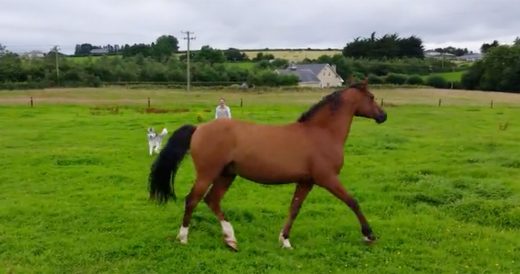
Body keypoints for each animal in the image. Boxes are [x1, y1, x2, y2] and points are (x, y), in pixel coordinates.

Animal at [150, 81, 386, 250]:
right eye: (372, 97)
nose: (383, 116)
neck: (321, 133)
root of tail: (199, 128)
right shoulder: (327, 178)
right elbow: (353, 201)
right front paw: (369, 235)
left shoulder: (306, 182)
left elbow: (294, 209)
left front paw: (285, 240)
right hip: (207, 173)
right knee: (192, 200)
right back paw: (183, 238)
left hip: (227, 174)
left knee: (212, 200)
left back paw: (231, 239)